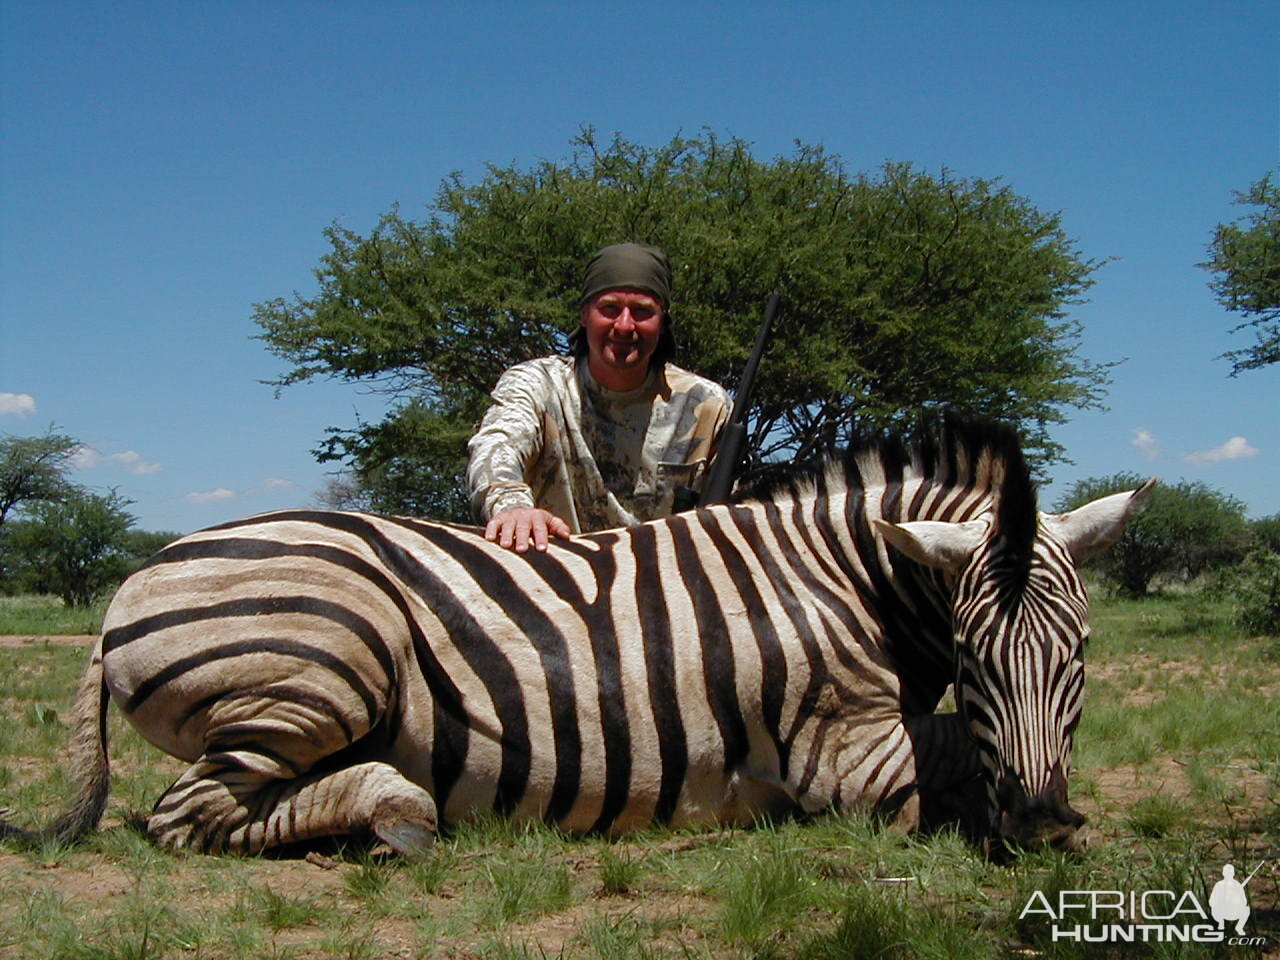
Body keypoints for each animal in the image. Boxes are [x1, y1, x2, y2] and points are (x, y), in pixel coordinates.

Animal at [5, 417, 1152, 855]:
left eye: (1083, 655)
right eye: (971, 659)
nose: (1045, 819)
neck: (848, 581)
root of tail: (126, 584)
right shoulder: (845, 758)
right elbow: (945, 767)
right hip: (328, 661)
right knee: (188, 814)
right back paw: (393, 808)